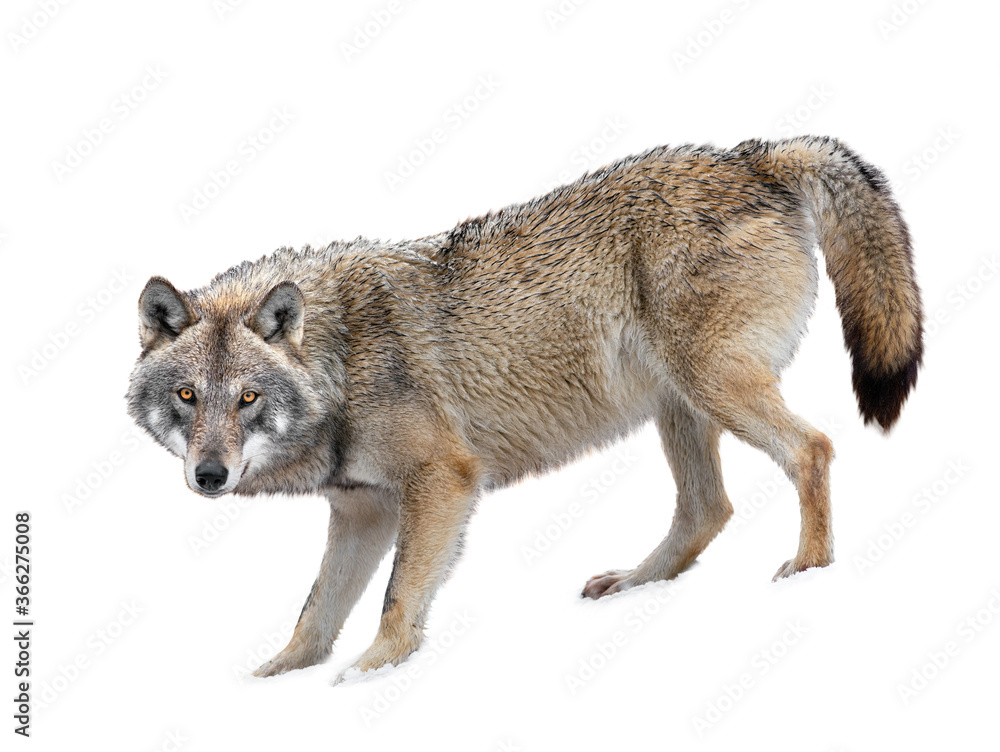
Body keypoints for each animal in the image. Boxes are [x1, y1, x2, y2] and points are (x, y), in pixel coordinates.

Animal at [126, 136, 922, 678]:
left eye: (249, 398)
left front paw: (371, 671)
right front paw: (272, 681)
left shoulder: (442, 481)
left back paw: (809, 568)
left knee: (812, 449)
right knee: (708, 510)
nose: (208, 475)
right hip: (678, 406)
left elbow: (396, 598)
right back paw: (633, 584)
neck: (340, 358)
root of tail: (753, 155)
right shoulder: (362, 510)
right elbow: (313, 616)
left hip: (713, 388)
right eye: (188, 397)